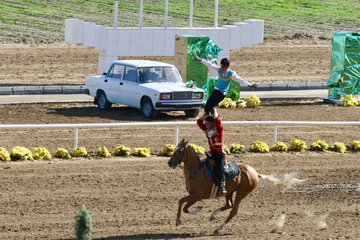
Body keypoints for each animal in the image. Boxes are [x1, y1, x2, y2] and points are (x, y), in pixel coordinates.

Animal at [167, 139, 306, 234]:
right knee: (229, 205)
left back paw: (218, 228)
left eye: (180, 150)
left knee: (233, 210)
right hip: (229, 192)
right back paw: (213, 215)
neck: (196, 170)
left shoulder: (197, 195)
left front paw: (178, 220)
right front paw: (197, 211)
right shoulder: (194, 196)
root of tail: (255, 173)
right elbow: (185, 207)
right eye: (174, 149)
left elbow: (181, 202)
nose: (170, 163)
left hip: (241, 193)